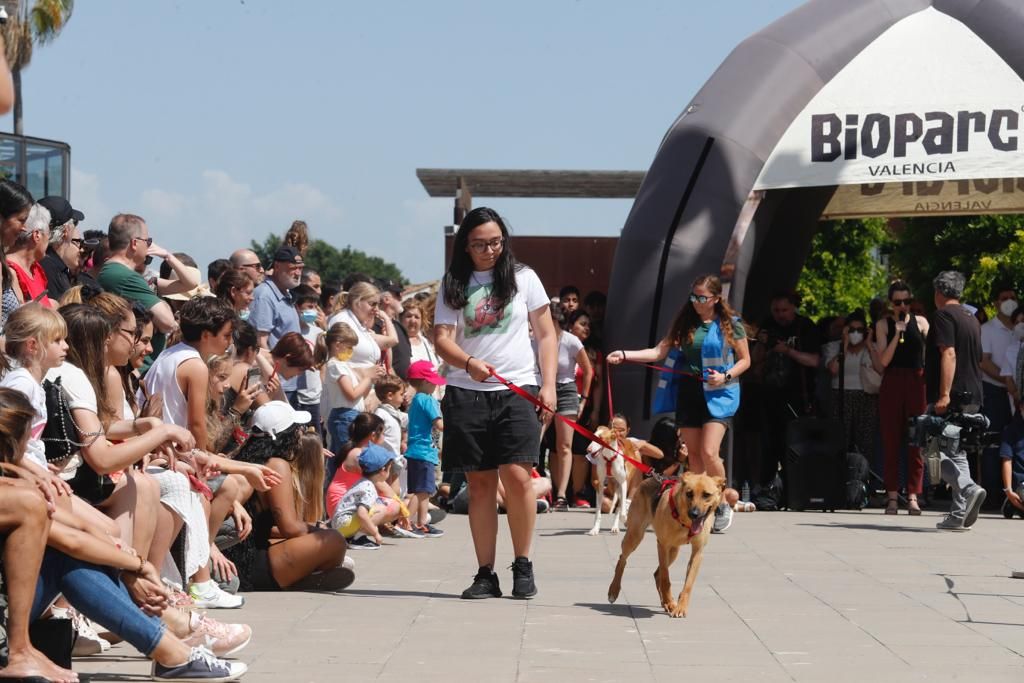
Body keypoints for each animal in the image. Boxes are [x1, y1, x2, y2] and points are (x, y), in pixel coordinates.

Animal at [602, 473, 724, 618]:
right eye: (689, 493)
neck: (685, 522)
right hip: (635, 536)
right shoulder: (663, 545)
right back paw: (614, 590)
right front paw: (671, 602)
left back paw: (666, 603)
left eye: (706, 495)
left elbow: (687, 584)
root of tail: (650, 477)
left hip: (674, 551)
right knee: (622, 560)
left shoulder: (697, 552)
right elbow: (666, 579)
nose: (694, 514)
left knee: (656, 574)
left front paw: (680, 607)